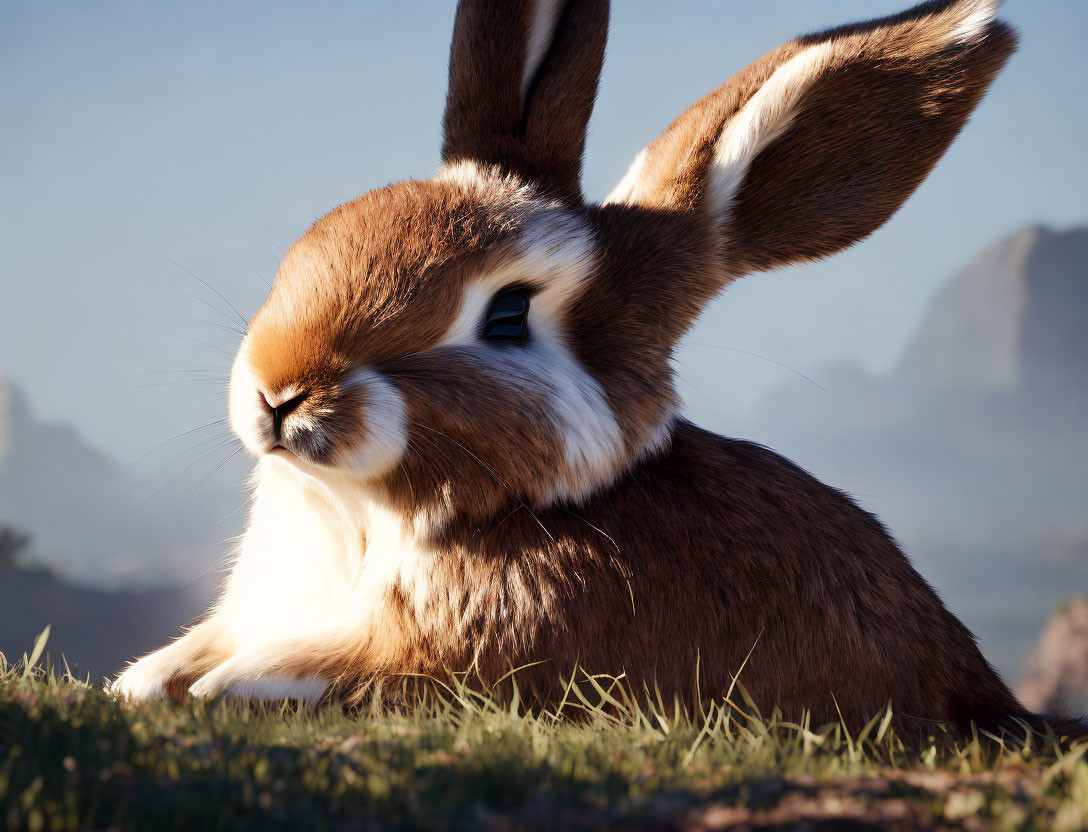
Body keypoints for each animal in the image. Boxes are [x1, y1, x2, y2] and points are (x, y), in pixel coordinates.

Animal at [110, 0, 1070, 735]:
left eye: (506, 316)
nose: (280, 392)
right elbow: (182, 657)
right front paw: (147, 677)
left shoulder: (479, 642)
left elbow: (308, 669)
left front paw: (219, 685)